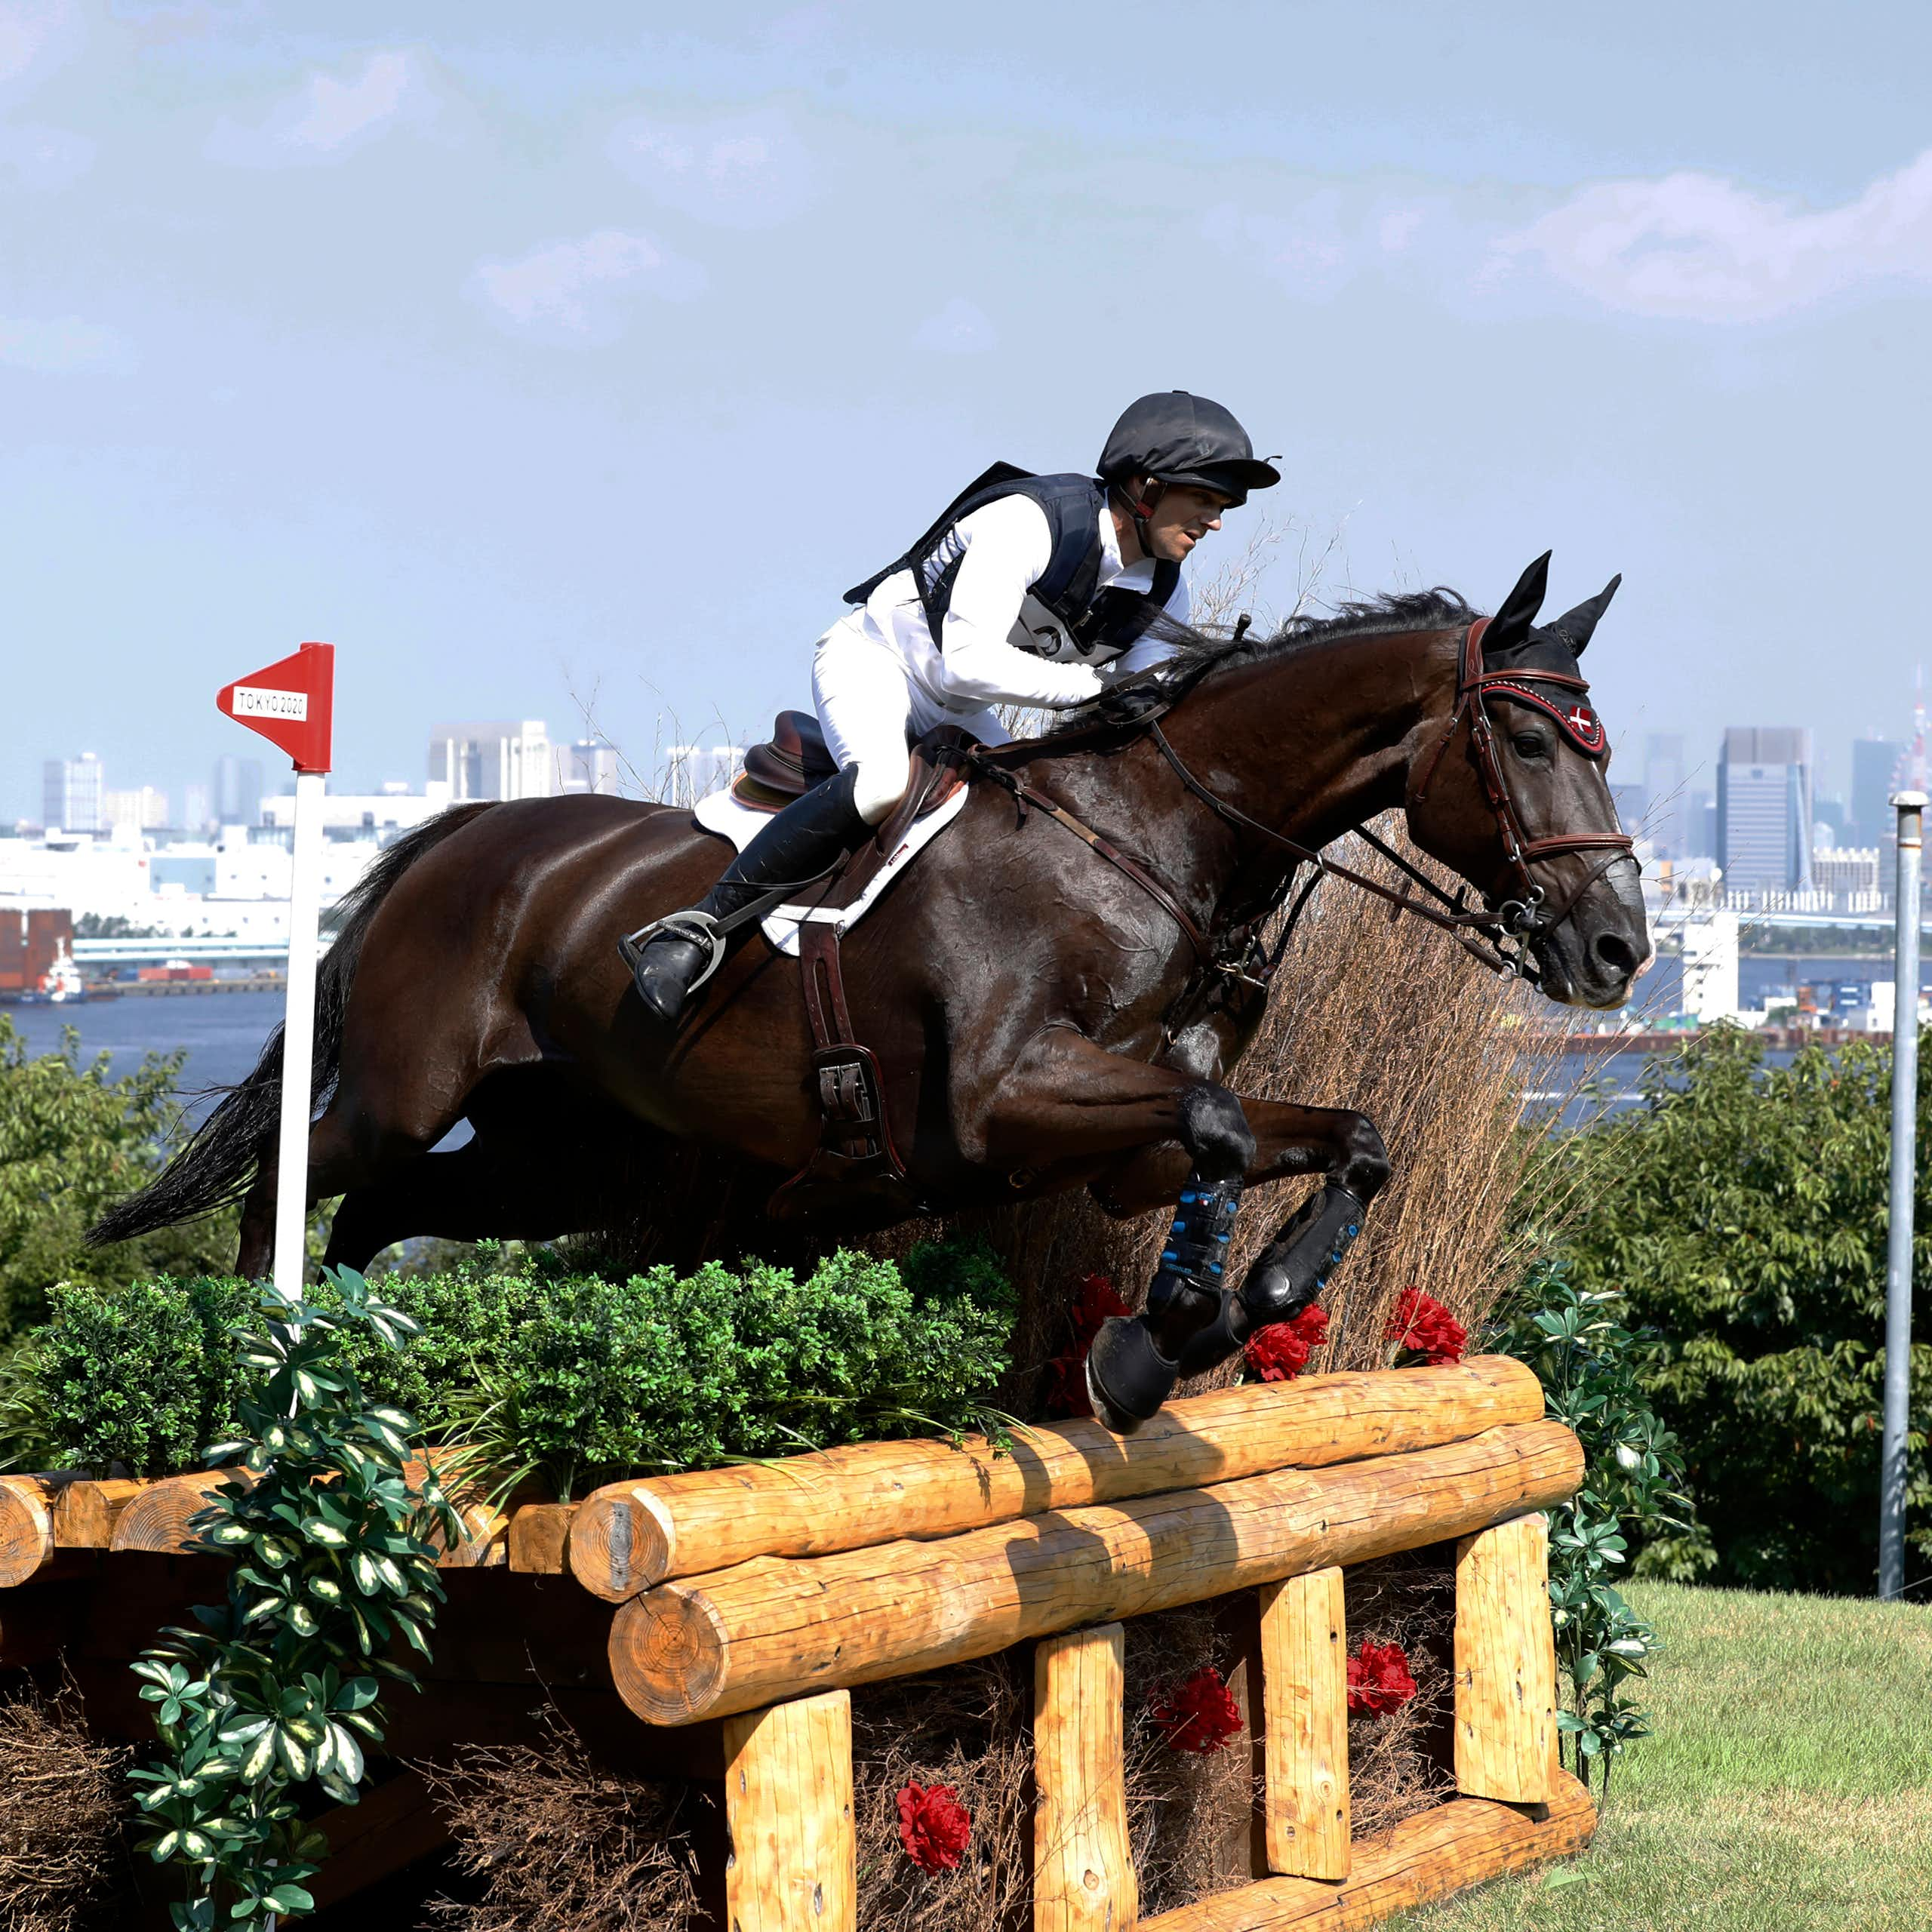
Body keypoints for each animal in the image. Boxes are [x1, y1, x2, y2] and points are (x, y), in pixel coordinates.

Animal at [102, 552, 1646, 1429]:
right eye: (1524, 739)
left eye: (1602, 740)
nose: (1619, 948)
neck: (1152, 835)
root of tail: (458, 834)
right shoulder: (1006, 1102)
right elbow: (1220, 1127)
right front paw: (1160, 1345)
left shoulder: (1134, 1135)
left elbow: (1321, 1138)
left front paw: (1212, 1316)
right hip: (405, 1091)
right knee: (294, 1180)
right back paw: (250, 1370)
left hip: (562, 1157)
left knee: (389, 1213)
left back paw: (357, 1364)